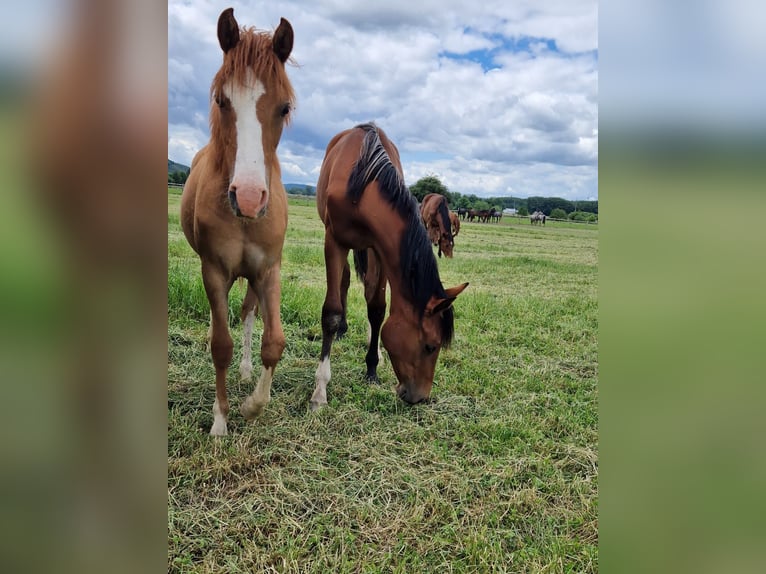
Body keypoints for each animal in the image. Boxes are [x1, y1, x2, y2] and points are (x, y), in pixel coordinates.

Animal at [182, 7, 296, 436]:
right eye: (221, 99)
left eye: (284, 107)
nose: (248, 198)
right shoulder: (214, 271)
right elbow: (221, 345)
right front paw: (221, 420)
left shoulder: (268, 269)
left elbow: (274, 341)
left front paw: (252, 406)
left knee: (249, 313)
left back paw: (247, 373)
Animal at [310, 122, 468, 410]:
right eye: (431, 346)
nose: (420, 397)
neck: (363, 185)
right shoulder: (334, 241)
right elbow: (331, 313)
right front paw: (320, 390)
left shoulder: (381, 250)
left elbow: (377, 309)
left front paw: (372, 366)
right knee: (345, 281)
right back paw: (344, 329)